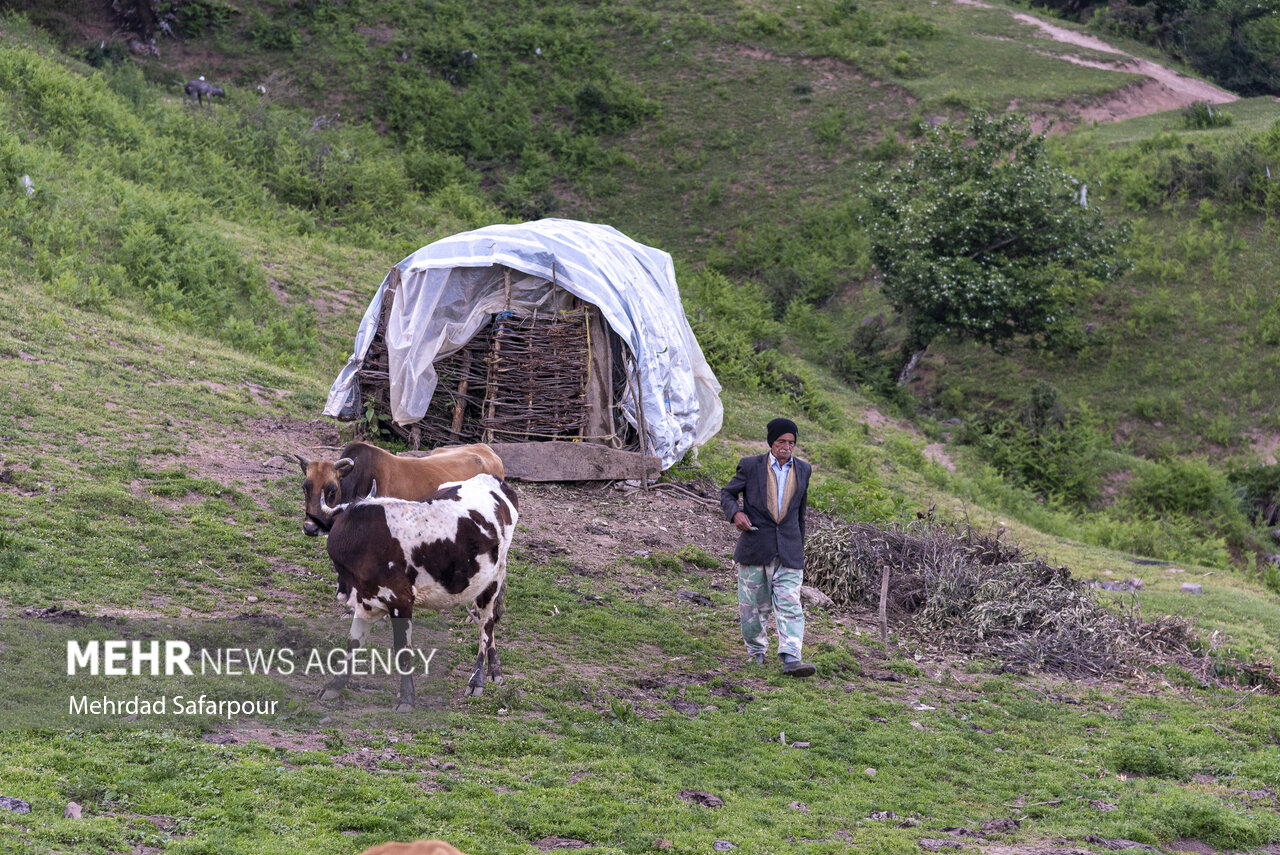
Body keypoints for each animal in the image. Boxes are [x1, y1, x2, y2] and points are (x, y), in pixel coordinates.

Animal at [320, 471, 519, 706]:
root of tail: (492, 479)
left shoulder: (400, 600)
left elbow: (402, 649)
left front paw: (406, 698)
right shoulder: (364, 601)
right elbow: (353, 642)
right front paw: (335, 685)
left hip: (492, 581)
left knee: (485, 627)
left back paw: (476, 679)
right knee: (490, 623)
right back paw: (494, 670)